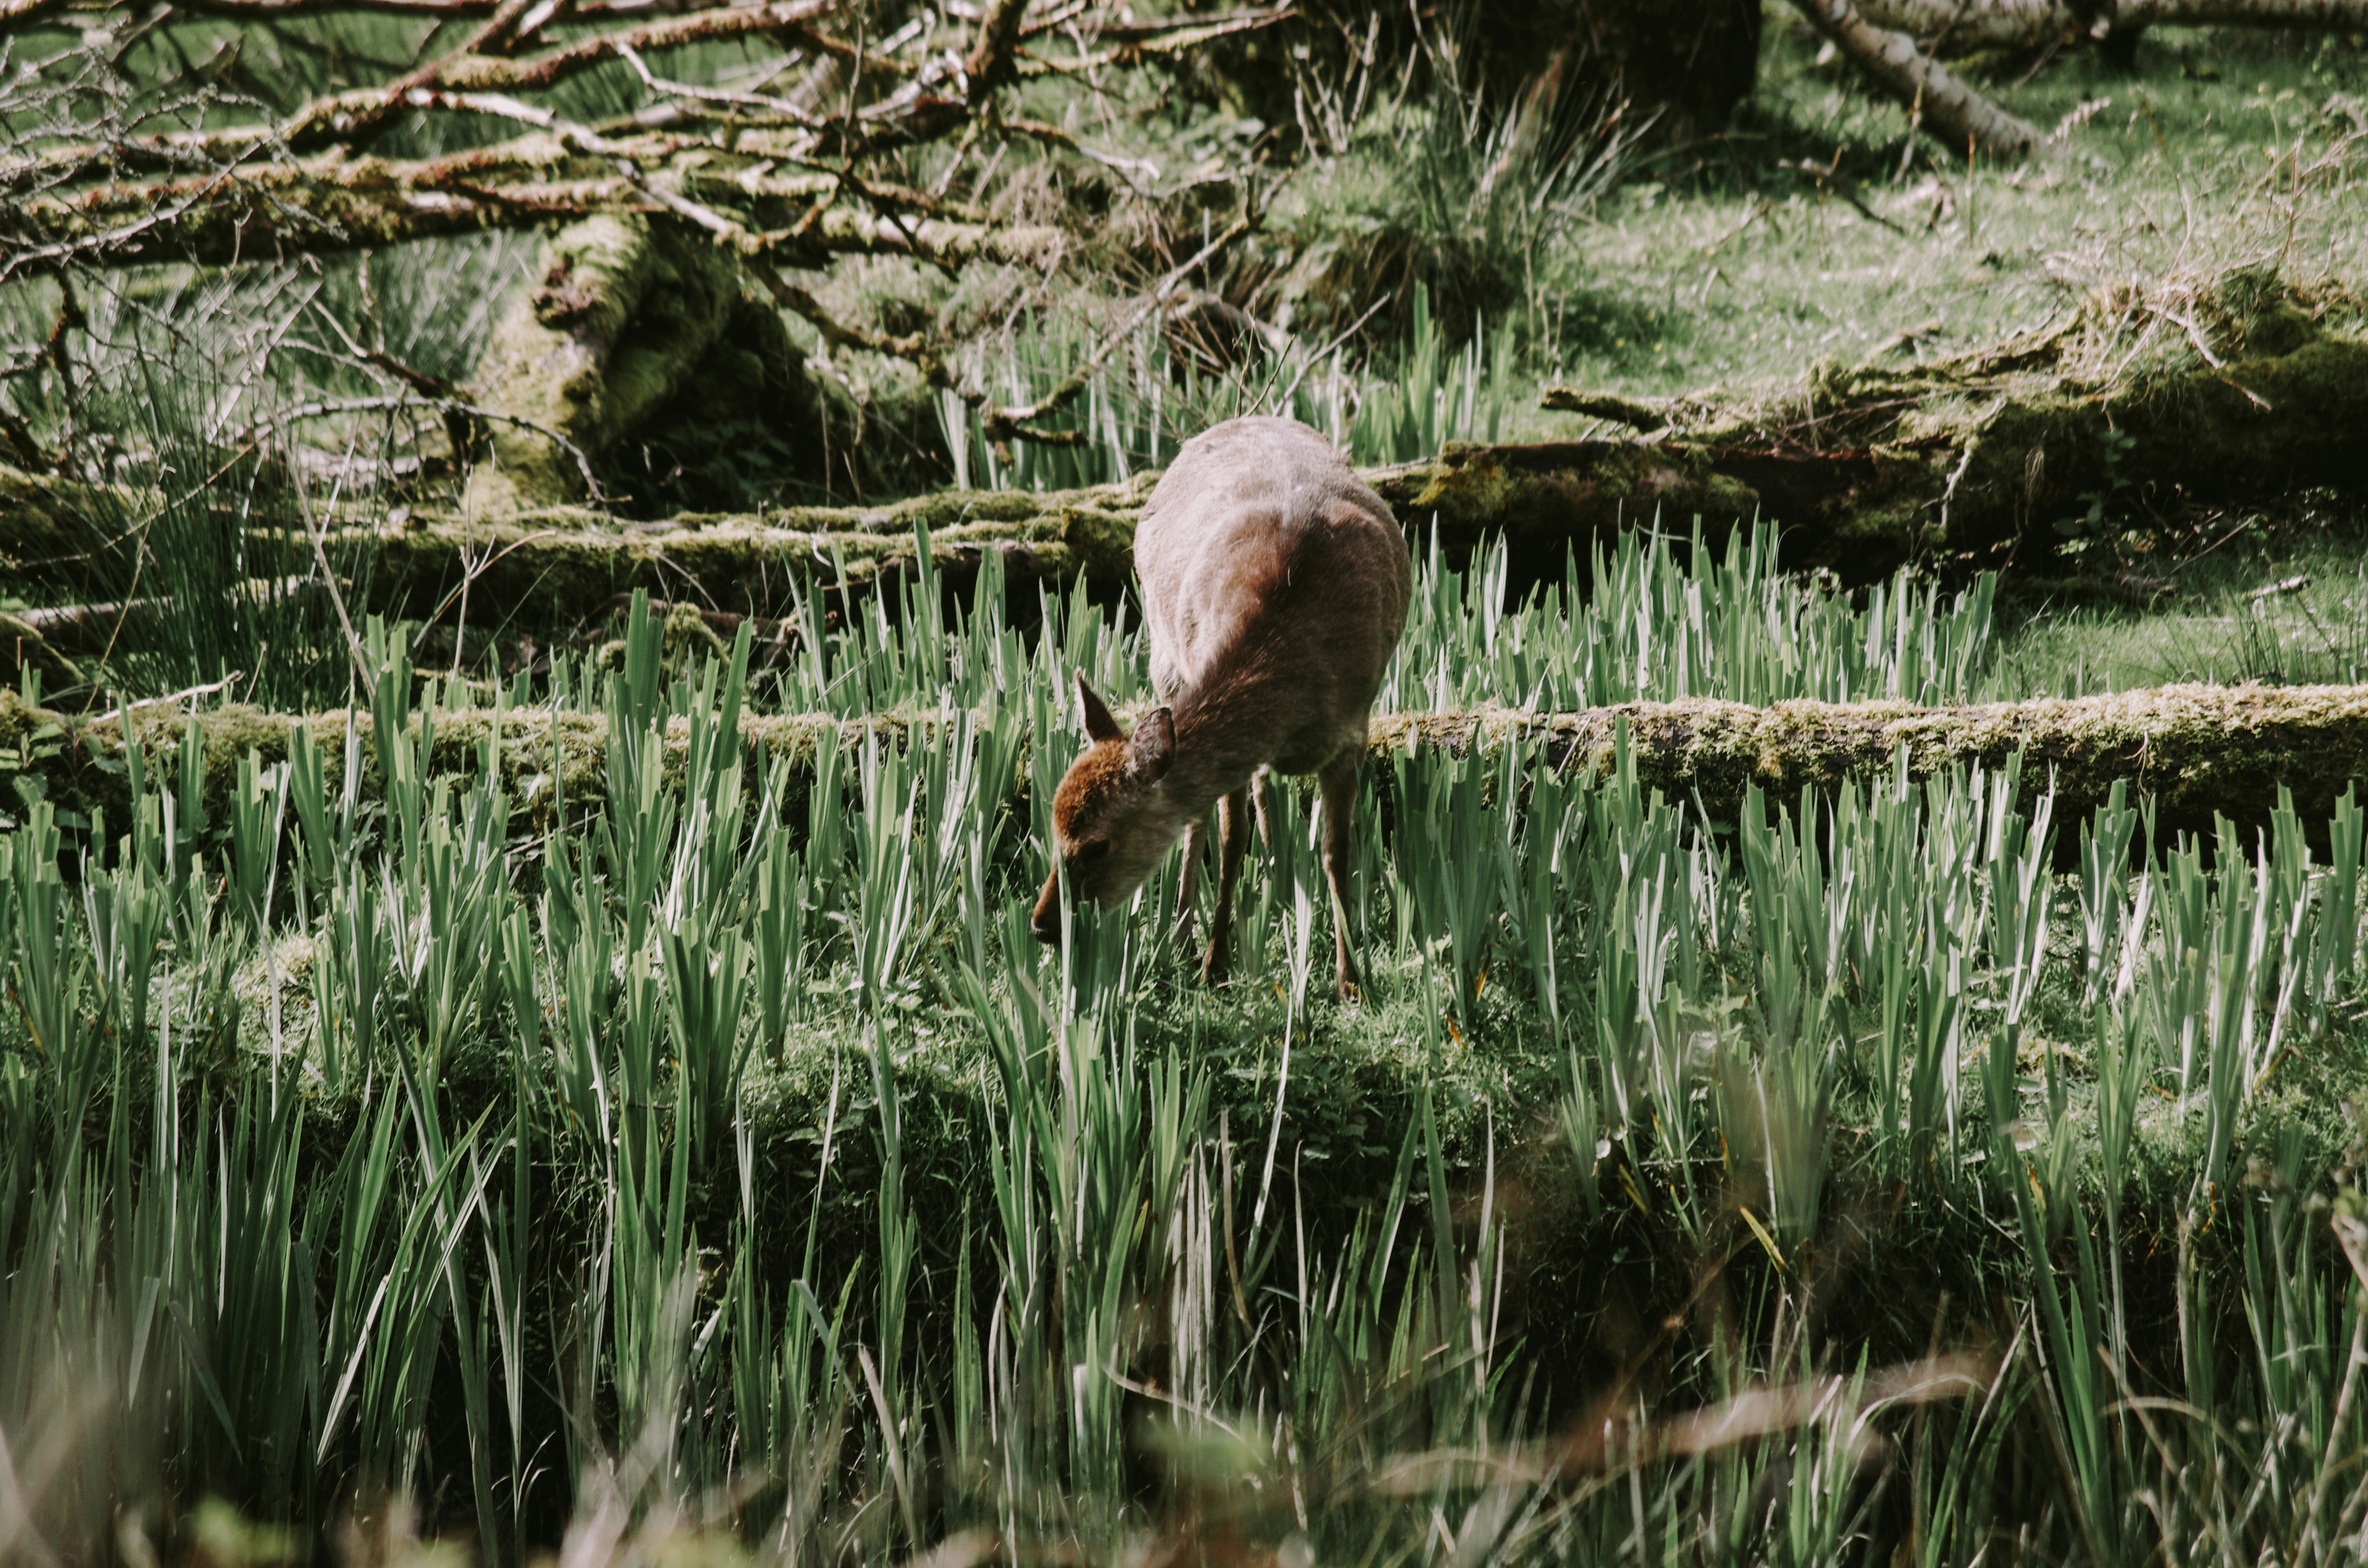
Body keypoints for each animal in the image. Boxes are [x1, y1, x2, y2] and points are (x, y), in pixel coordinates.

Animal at [1030, 415, 1411, 1000]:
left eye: (1095, 846)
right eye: (1053, 836)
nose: (1042, 925)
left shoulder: (1354, 725)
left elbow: (1336, 852)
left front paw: (1351, 982)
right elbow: (1230, 842)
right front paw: (1215, 964)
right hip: (1163, 658)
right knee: (1202, 818)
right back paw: (1182, 931)